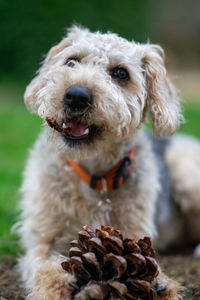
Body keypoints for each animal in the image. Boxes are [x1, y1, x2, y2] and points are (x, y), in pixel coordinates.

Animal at [17, 25, 200, 298]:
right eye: (71, 61)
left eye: (121, 73)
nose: (76, 95)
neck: (95, 174)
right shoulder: (41, 236)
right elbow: (43, 266)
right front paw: (57, 285)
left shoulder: (134, 233)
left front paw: (160, 284)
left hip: (187, 174)